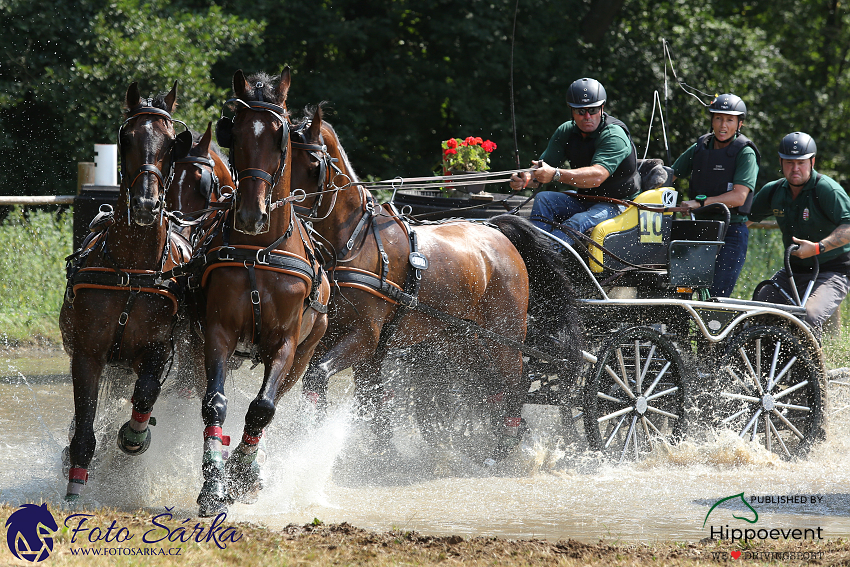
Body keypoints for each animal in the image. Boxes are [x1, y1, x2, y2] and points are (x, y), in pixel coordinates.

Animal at [59, 81, 194, 502]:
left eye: (171, 143)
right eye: (128, 138)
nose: (147, 204)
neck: (133, 270)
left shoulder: (158, 348)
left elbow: (146, 393)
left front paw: (134, 436)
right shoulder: (87, 353)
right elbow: (85, 421)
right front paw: (75, 483)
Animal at [197, 69, 330, 516]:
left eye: (279, 136)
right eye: (234, 132)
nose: (251, 214)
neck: (259, 250)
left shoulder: (284, 343)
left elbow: (262, 408)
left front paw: (242, 473)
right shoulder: (217, 332)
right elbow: (215, 402)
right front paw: (213, 482)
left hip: (304, 356)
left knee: (275, 399)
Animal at [288, 106, 580, 462]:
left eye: (313, 164)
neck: (354, 242)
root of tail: (497, 230)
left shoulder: (365, 338)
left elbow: (326, 378)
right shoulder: (340, 339)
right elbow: (354, 393)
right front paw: (378, 452)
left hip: (506, 336)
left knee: (515, 384)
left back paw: (503, 447)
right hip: (462, 338)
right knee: (490, 386)